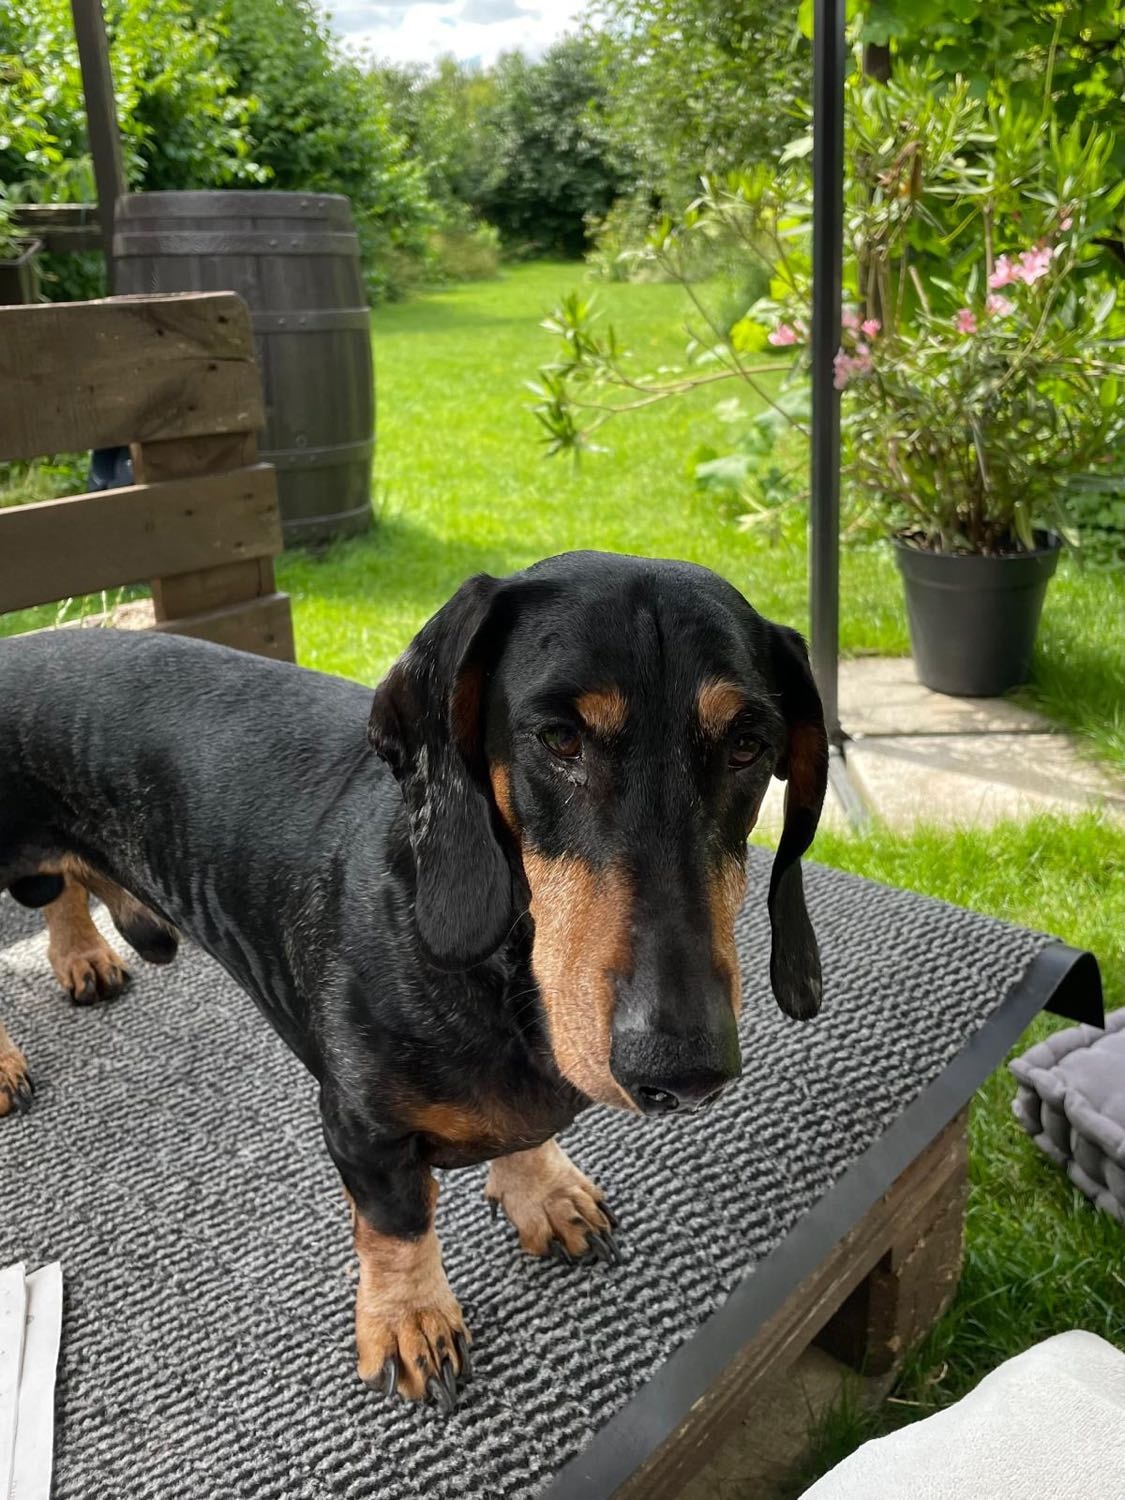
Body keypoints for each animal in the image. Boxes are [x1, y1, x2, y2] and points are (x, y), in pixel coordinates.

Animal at [0, 550, 828, 1412]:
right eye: (559, 738)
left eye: (748, 745)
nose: (682, 1069)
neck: (505, 981)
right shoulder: (361, 1129)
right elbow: (396, 1227)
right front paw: (409, 1320)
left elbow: (527, 1140)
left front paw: (542, 1190)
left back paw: (80, 952)